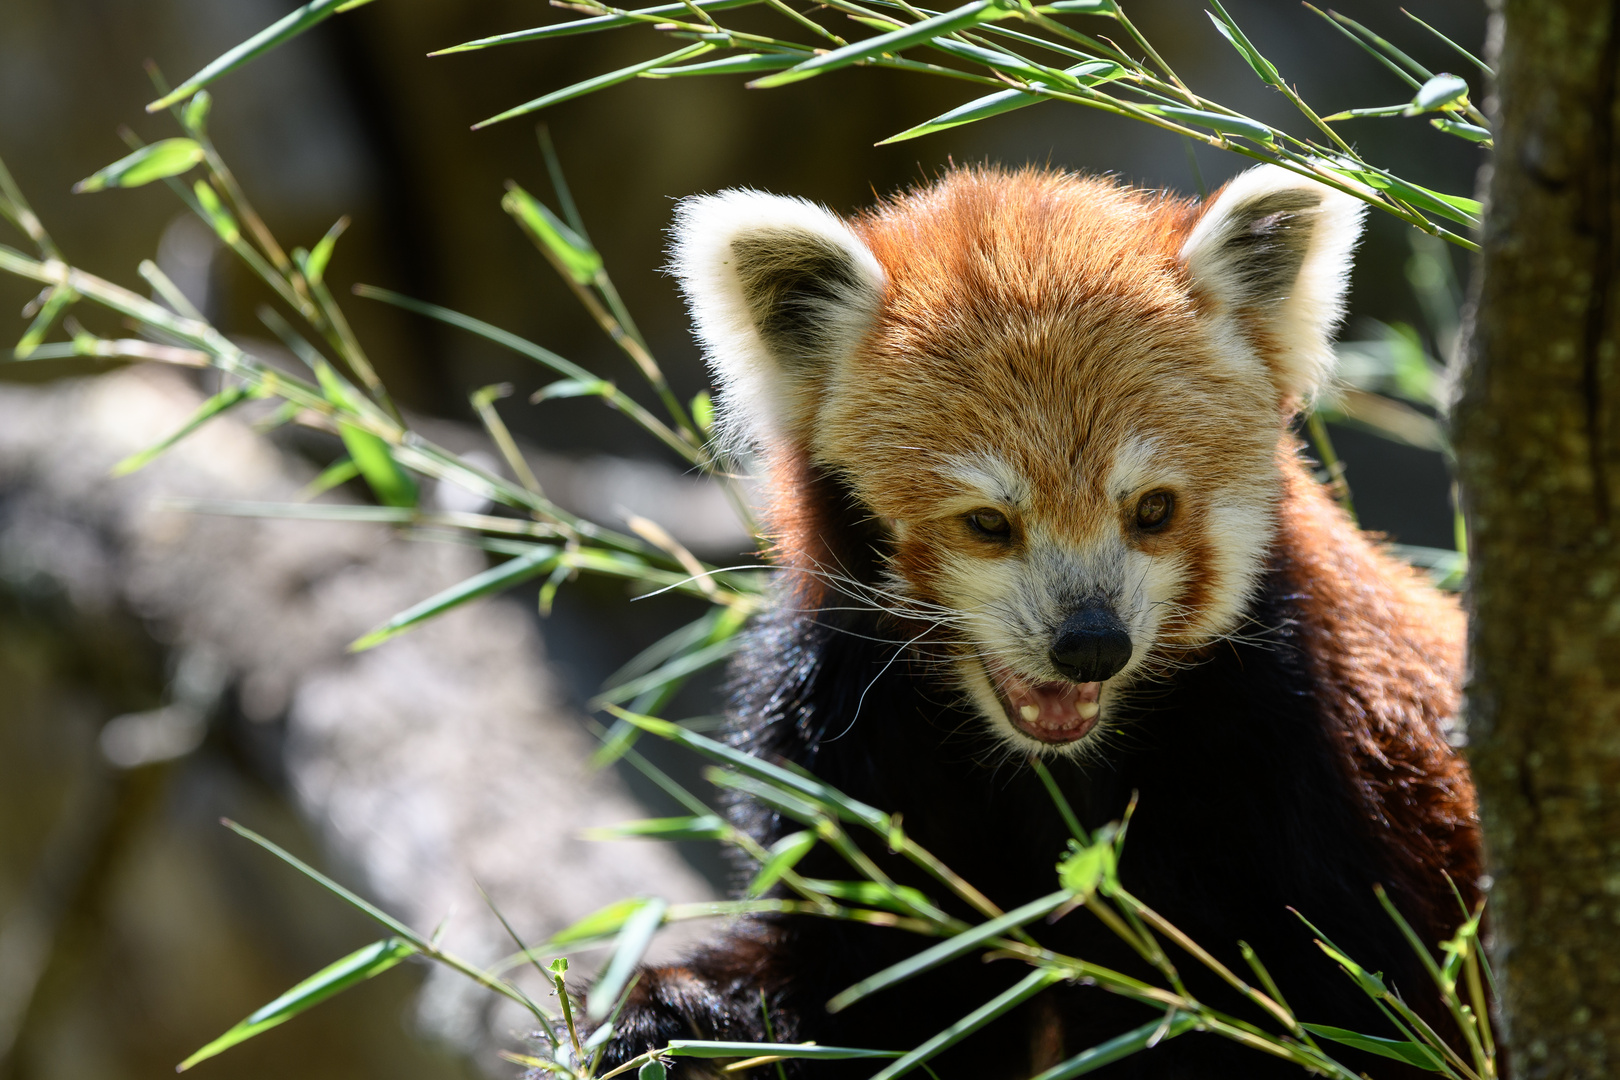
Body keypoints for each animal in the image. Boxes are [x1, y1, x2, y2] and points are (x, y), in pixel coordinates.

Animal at [596, 165, 1483, 1075]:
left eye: (1152, 509)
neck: (1052, 771)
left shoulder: (1305, 768)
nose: (1091, 645)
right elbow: (854, 983)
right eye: (988, 522)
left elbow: (1347, 1021)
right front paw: (662, 1019)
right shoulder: (847, 736)